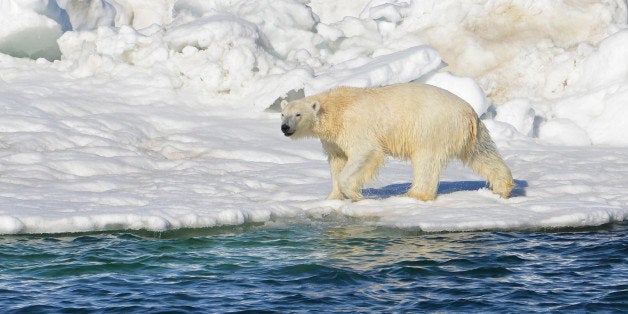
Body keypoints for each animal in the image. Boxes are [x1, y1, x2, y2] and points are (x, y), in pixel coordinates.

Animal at [280, 83, 516, 201]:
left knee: (426, 161)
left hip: (431, 128)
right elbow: (338, 161)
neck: (336, 108)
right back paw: (502, 188)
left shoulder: (356, 126)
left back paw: (414, 194)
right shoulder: (333, 140)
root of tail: (468, 112)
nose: (285, 128)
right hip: (471, 133)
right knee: (483, 154)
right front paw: (332, 197)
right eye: (283, 114)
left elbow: (365, 153)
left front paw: (355, 194)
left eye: (298, 114)